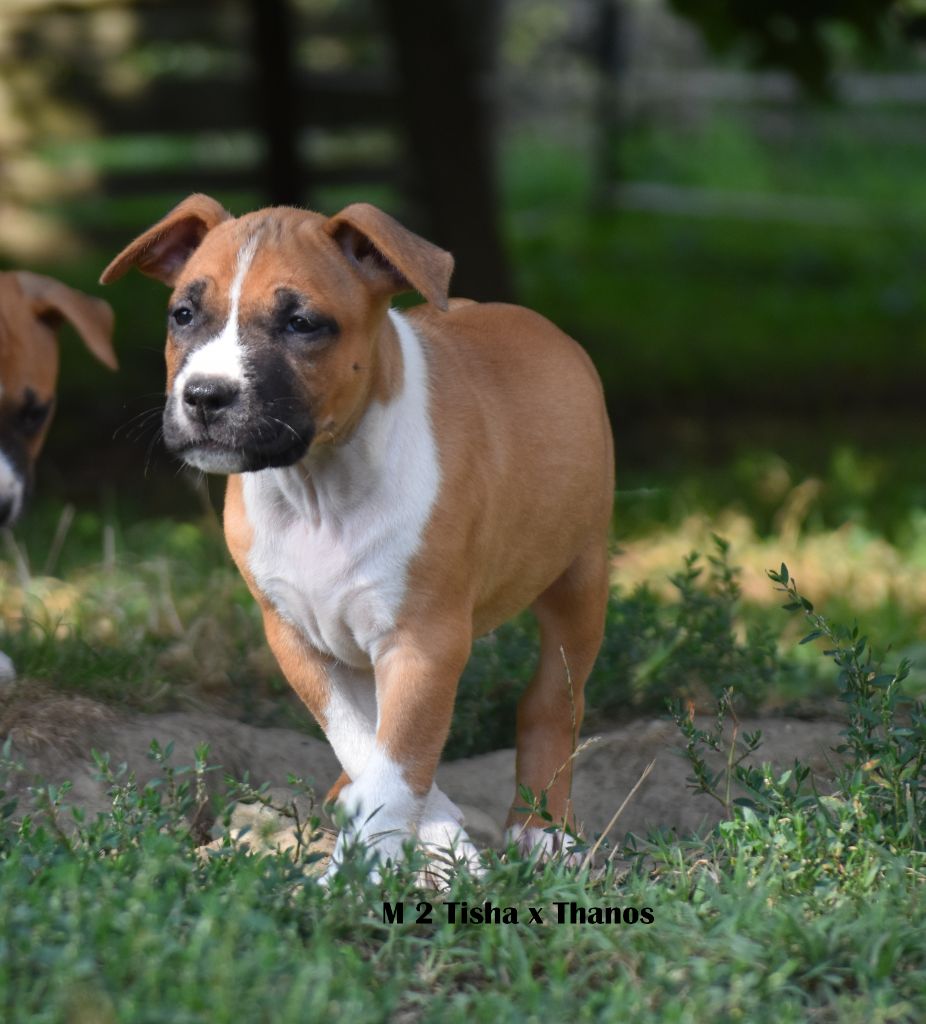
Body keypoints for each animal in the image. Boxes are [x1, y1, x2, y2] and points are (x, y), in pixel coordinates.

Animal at [101, 197, 614, 880]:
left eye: (302, 324)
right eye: (183, 314)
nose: (206, 395)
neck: (319, 488)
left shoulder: (423, 643)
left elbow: (396, 762)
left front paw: (360, 873)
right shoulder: (297, 639)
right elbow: (364, 742)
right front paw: (434, 839)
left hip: (579, 580)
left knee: (553, 703)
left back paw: (542, 829)